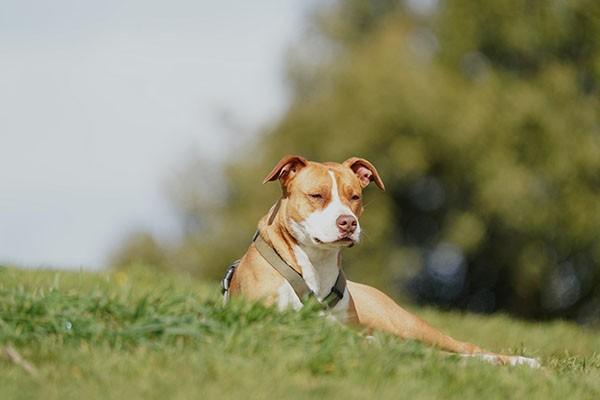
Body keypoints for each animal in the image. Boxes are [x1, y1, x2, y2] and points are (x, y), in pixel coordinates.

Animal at [223, 155, 540, 368]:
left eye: (354, 197)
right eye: (316, 195)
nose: (348, 222)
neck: (316, 265)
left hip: (408, 324)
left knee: (462, 346)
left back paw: (522, 361)